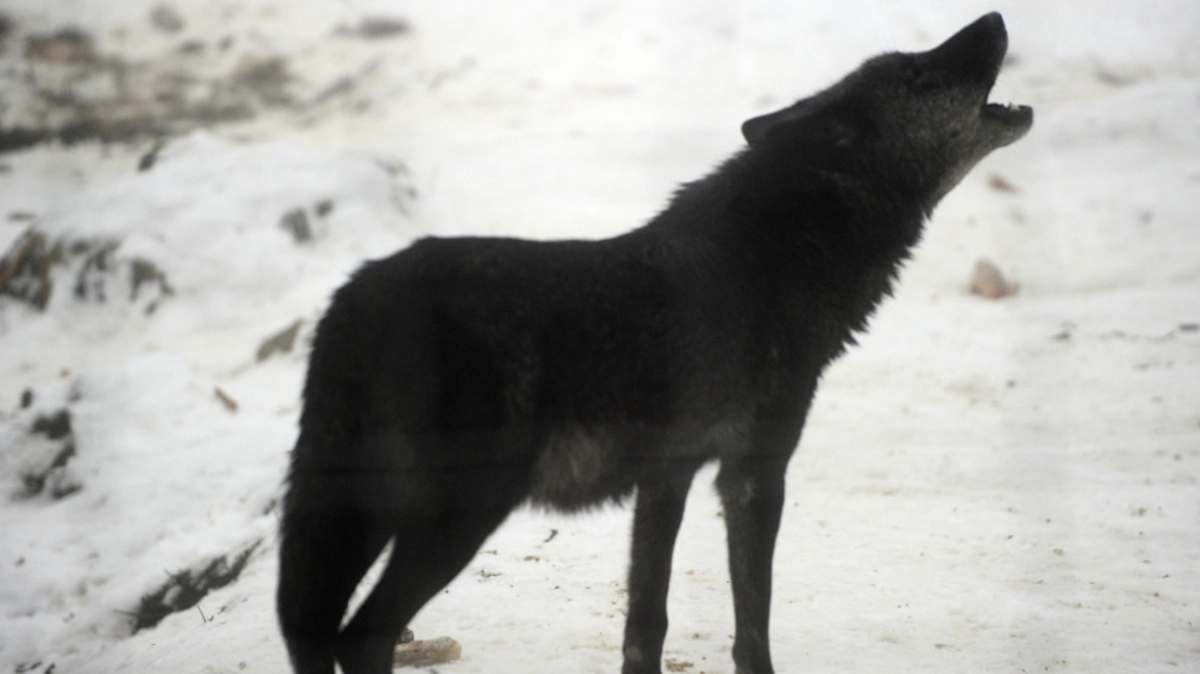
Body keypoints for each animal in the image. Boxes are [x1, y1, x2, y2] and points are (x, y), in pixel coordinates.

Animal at [277, 12, 1031, 674]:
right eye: (917, 76)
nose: (996, 18)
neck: (774, 256)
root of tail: (354, 300)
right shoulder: (753, 473)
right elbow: (752, 624)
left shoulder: (668, 477)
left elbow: (647, 624)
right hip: (456, 513)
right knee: (359, 634)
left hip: (367, 512)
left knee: (316, 629)